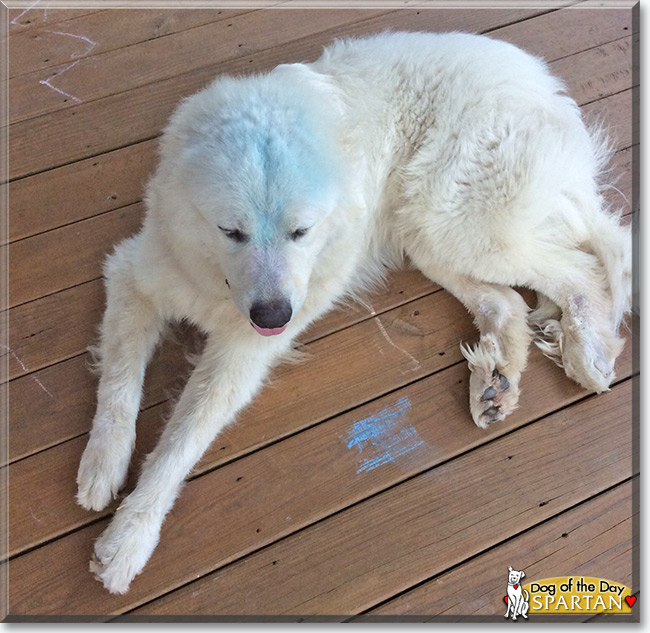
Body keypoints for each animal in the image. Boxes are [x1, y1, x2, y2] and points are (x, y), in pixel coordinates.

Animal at [74, 29, 628, 592]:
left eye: (301, 231)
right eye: (231, 231)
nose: (274, 318)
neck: (217, 281)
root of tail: (545, 86)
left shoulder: (241, 352)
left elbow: (181, 441)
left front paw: (128, 538)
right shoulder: (133, 275)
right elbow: (119, 390)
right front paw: (102, 467)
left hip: (458, 222)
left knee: (582, 268)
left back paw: (586, 353)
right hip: (428, 234)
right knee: (509, 300)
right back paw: (496, 382)